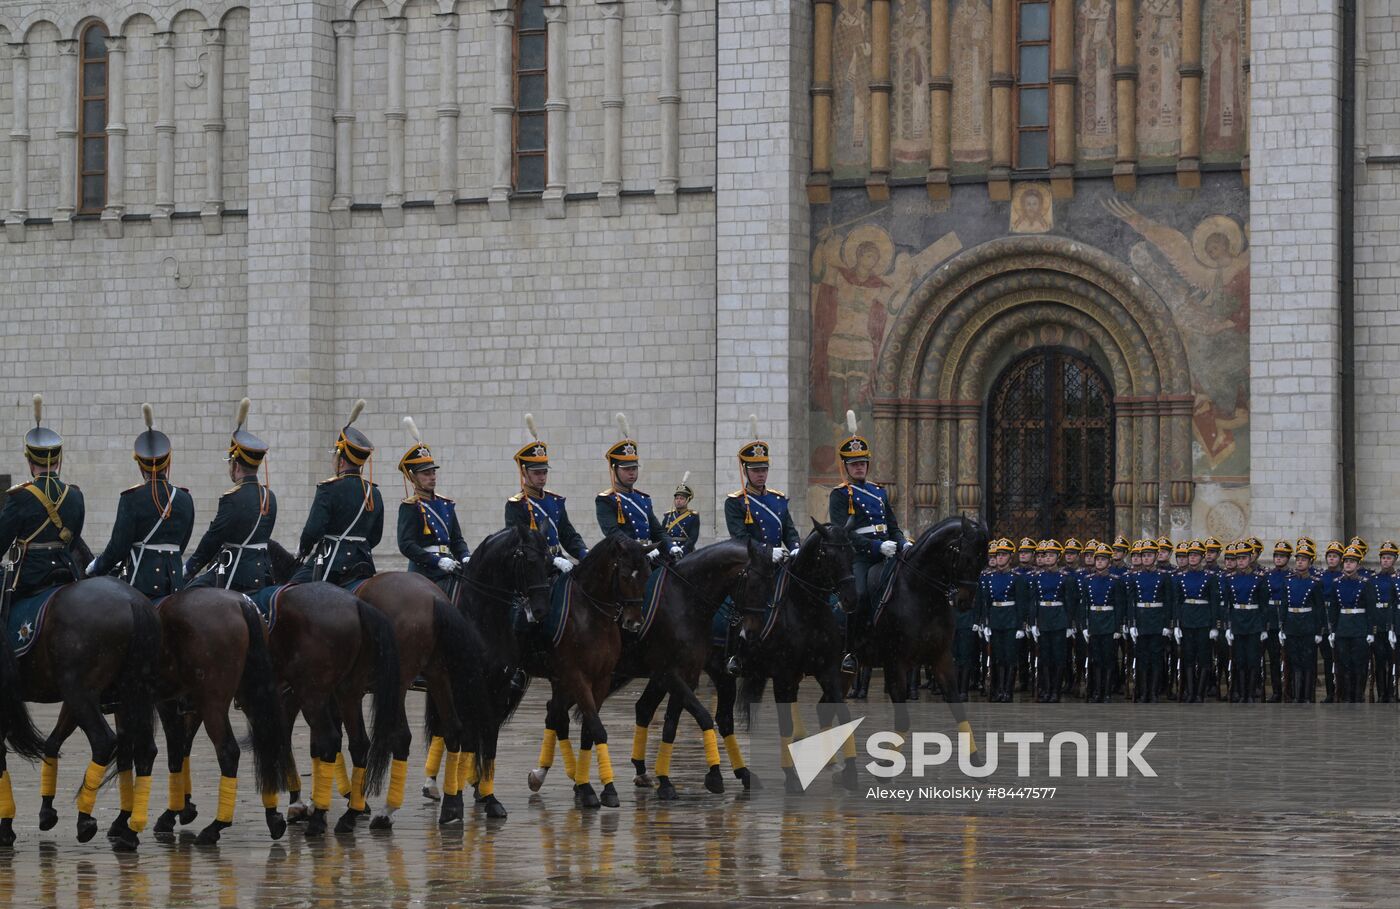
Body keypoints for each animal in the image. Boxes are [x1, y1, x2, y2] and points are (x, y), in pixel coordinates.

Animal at [2, 571, 160, 845]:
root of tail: (132, 600)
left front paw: (6, 826)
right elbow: (52, 743)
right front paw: (45, 812)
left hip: (80, 691)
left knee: (104, 741)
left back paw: (85, 819)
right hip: (129, 694)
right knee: (143, 750)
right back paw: (130, 831)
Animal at [260, 537, 403, 834]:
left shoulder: (292, 696)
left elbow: (293, 741)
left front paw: (302, 804)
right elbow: (315, 746)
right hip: (350, 691)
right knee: (360, 743)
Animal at [520, 535, 649, 806]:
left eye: (646, 574)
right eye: (624, 575)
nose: (634, 622)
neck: (591, 616)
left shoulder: (600, 679)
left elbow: (589, 729)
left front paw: (592, 785)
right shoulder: (577, 676)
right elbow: (596, 727)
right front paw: (599, 788)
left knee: (555, 714)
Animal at [621, 535, 784, 795]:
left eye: (771, 586)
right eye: (752, 584)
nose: (752, 634)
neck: (684, 599)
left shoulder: (688, 674)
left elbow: (676, 722)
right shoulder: (672, 673)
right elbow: (704, 716)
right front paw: (714, 775)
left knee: (643, 708)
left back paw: (641, 771)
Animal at [733, 521, 862, 789]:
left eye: (852, 553)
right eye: (829, 556)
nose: (851, 599)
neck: (807, 609)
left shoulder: (828, 670)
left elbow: (843, 713)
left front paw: (851, 772)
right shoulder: (782, 674)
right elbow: (785, 723)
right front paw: (791, 777)